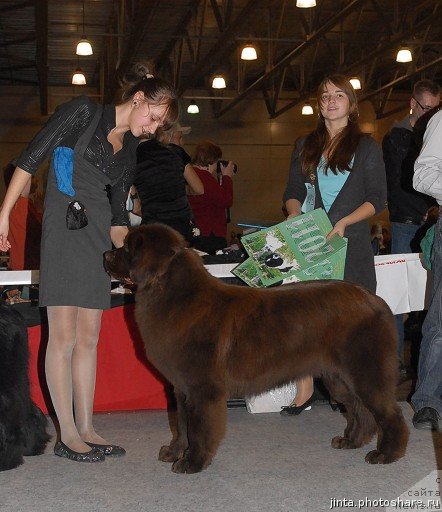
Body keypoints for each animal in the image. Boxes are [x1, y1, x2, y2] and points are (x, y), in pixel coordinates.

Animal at [103, 226, 408, 474]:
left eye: (128, 248)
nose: (106, 254)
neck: (171, 295)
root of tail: (376, 300)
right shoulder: (180, 387)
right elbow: (181, 425)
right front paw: (174, 452)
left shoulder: (202, 389)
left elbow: (199, 428)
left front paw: (193, 462)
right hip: (338, 379)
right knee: (359, 409)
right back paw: (350, 441)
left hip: (365, 371)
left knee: (390, 413)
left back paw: (386, 455)